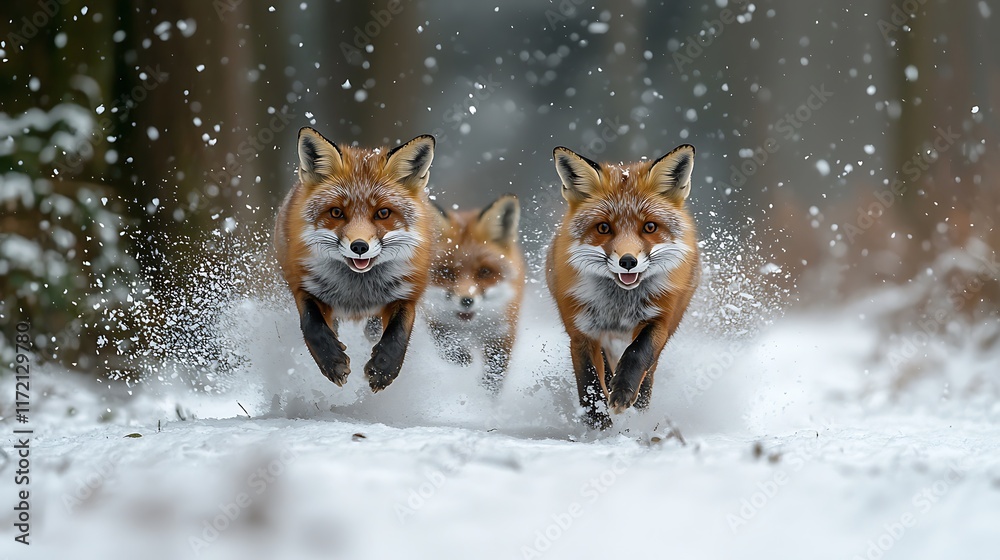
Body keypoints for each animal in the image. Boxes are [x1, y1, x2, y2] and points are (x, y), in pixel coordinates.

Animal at [273, 127, 436, 392]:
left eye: (383, 213)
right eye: (336, 212)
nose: (359, 246)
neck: (356, 293)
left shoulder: (408, 291)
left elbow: (399, 332)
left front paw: (383, 368)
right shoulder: (303, 284)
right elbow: (311, 325)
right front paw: (332, 362)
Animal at [423, 195, 525, 393]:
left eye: (484, 272)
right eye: (446, 272)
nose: (466, 301)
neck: (471, 328)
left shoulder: (501, 335)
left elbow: (492, 379)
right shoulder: (433, 320)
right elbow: (449, 348)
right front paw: (463, 362)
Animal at [546, 144, 700, 429]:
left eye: (649, 226)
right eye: (603, 228)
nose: (628, 261)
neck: (619, 305)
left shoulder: (660, 320)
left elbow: (638, 354)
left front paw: (624, 393)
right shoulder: (580, 331)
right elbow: (589, 380)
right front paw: (598, 420)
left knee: (648, 370)